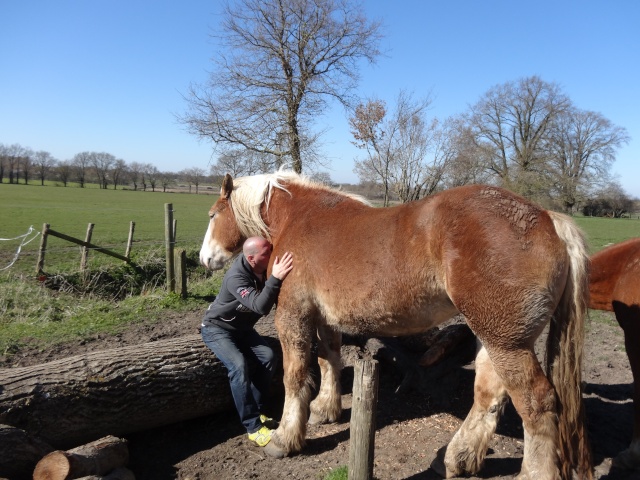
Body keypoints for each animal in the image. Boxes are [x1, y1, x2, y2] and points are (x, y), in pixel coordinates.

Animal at [201, 172, 596, 480]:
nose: (205, 258)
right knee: (488, 395)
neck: (302, 219)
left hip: (506, 342)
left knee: (537, 404)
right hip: (495, 338)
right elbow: (330, 359)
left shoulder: (292, 313)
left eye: (212, 214)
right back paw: (454, 459)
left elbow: (295, 375)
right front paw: (326, 409)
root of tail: (547, 219)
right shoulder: (326, 317)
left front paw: (285, 438)